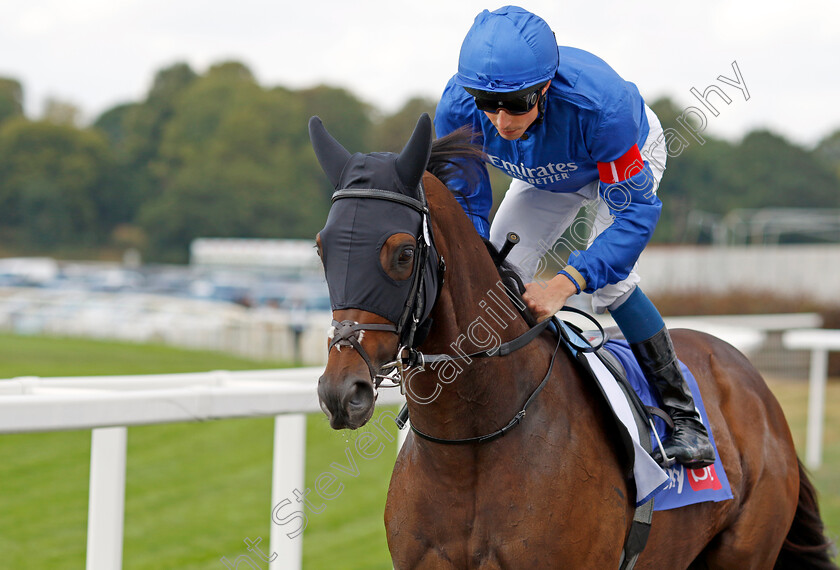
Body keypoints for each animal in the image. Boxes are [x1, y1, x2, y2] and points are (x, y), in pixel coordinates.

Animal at [308, 113, 832, 564]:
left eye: (402, 253)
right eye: (320, 248)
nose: (341, 392)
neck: (470, 446)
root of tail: (752, 380)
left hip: (746, 551)